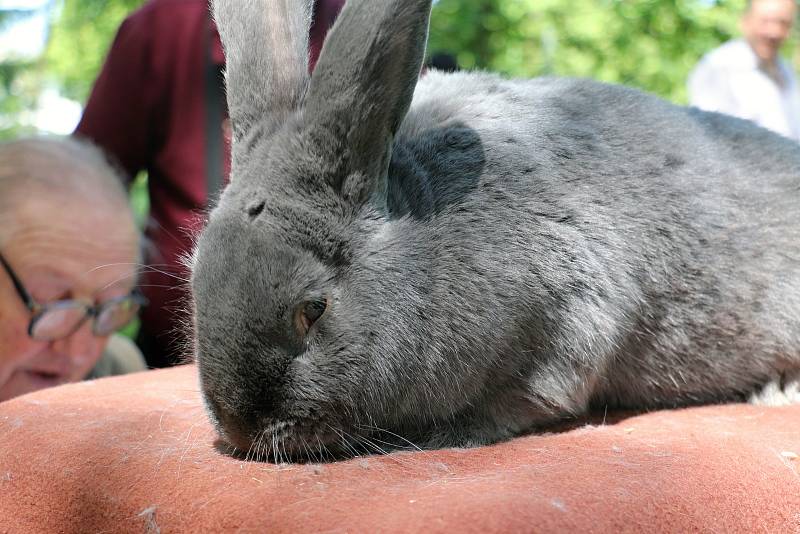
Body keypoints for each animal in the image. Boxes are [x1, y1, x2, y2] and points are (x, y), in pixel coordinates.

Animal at [191, 0, 800, 460]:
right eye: (196, 285)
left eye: (313, 309)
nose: (243, 427)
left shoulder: (565, 320)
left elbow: (528, 399)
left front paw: (441, 437)